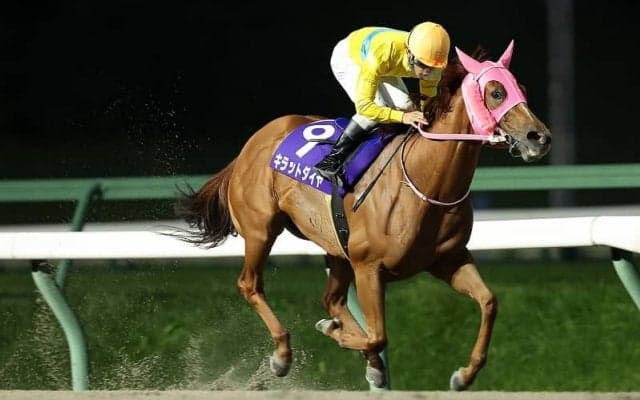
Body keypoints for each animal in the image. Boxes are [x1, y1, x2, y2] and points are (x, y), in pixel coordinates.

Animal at [175, 40, 551, 390]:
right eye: (496, 92)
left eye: (521, 88)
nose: (540, 137)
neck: (425, 181)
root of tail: (251, 145)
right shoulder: (370, 268)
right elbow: (378, 334)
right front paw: (343, 340)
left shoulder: (449, 259)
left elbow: (489, 302)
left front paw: (463, 375)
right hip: (261, 230)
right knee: (251, 284)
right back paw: (283, 354)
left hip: (336, 248)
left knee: (332, 299)